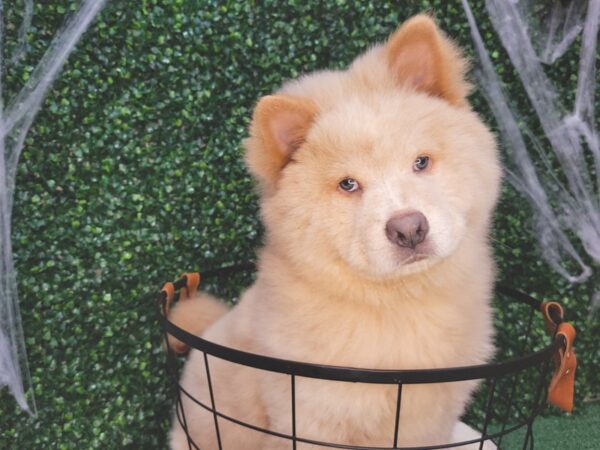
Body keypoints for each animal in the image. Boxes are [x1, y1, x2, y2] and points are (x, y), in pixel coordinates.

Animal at [168, 14, 502, 450]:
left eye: (421, 162)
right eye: (348, 185)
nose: (409, 228)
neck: (398, 304)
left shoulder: (430, 418)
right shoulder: (311, 418)